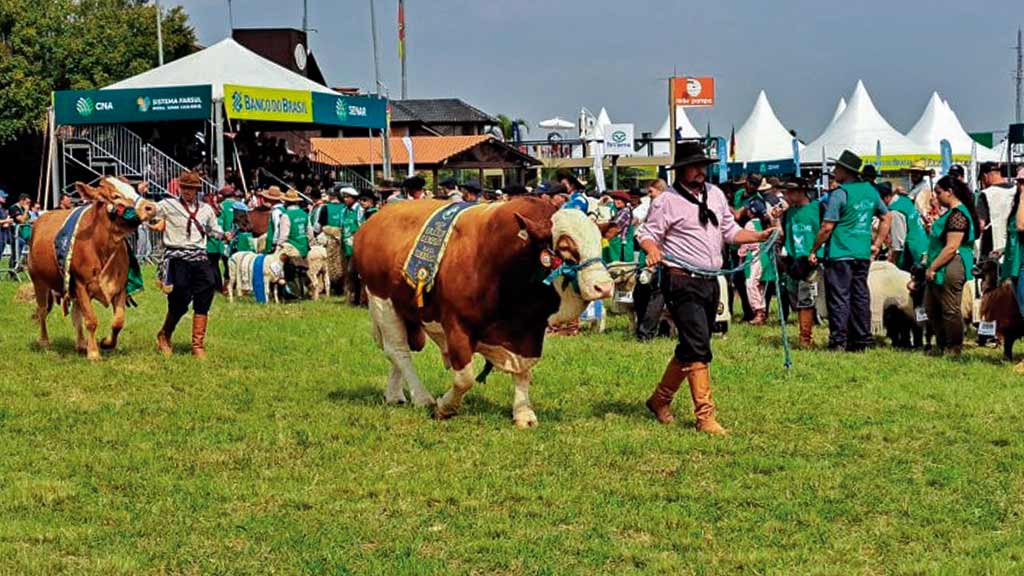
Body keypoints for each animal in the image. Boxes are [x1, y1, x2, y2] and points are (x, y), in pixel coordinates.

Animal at [29, 178, 157, 358]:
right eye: (115, 196)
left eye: (134, 189)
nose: (150, 207)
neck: (101, 245)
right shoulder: (81, 284)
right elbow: (91, 320)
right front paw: (94, 353)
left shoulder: (119, 287)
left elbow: (118, 321)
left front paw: (106, 343)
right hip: (38, 280)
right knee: (42, 310)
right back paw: (44, 342)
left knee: (76, 314)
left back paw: (81, 344)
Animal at [356, 196, 610, 426]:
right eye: (565, 248)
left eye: (600, 244)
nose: (604, 286)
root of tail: (375, 219)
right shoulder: (456, 326)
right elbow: (465, 377)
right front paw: (445, 407)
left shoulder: (529, 330)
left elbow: (524, 372)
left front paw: (523, 413)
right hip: (382, 301)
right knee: (399, 351)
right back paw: (421, 397)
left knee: (401, 352)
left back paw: (394, 395)